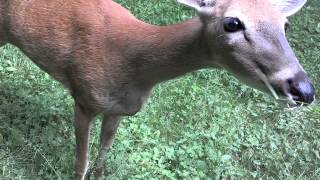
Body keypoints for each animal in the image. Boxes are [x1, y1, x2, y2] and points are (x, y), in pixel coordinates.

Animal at [0, 0, 316, 179]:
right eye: (232, 22)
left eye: (285, 25)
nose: (305, 89)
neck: (133, 65)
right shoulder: (84, 96)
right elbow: (82, 161)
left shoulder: (119, 110)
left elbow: (103, 153)